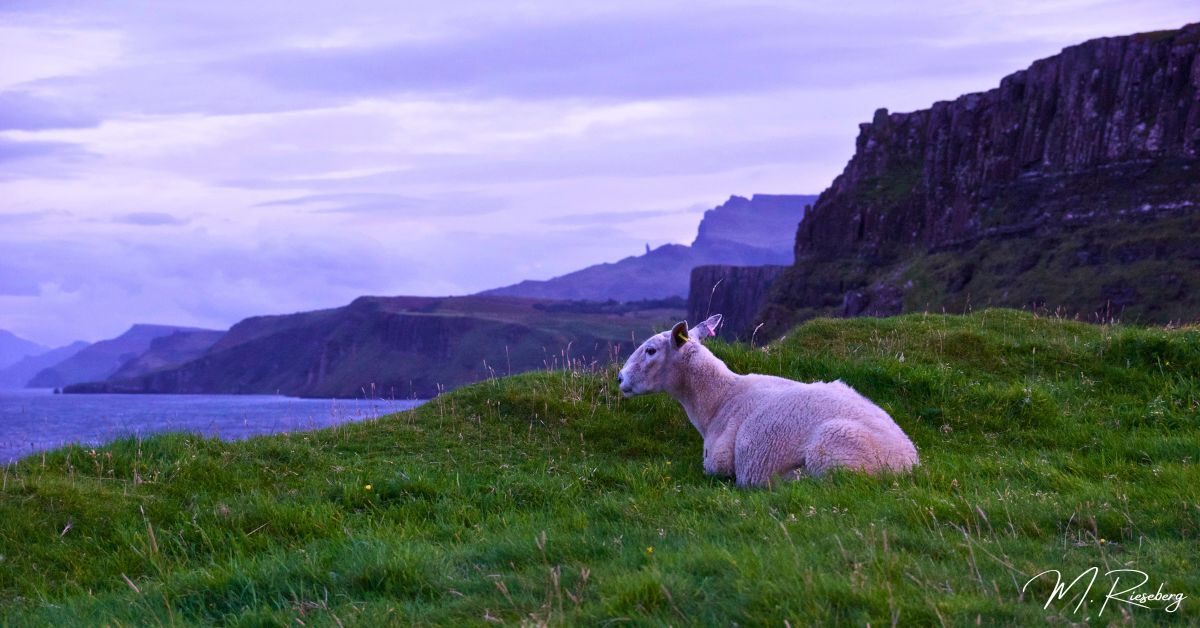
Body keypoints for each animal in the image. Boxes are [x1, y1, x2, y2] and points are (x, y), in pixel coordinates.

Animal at [617, 315, 918, 487]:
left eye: (651, 350)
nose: (620, 378)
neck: (719, 399)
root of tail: (907, 464)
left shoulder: (719, 462)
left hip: (834, 451)